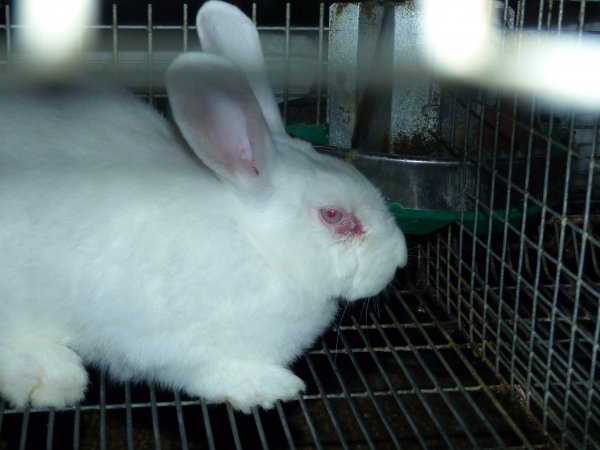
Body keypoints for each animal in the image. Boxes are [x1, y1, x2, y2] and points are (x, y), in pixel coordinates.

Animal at [0, 0, 408, 414]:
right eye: (333, 215)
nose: (400, 260)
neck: (256, 245)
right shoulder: (168, 346)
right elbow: (204, 372)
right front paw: (269, 387)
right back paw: (53, 376)